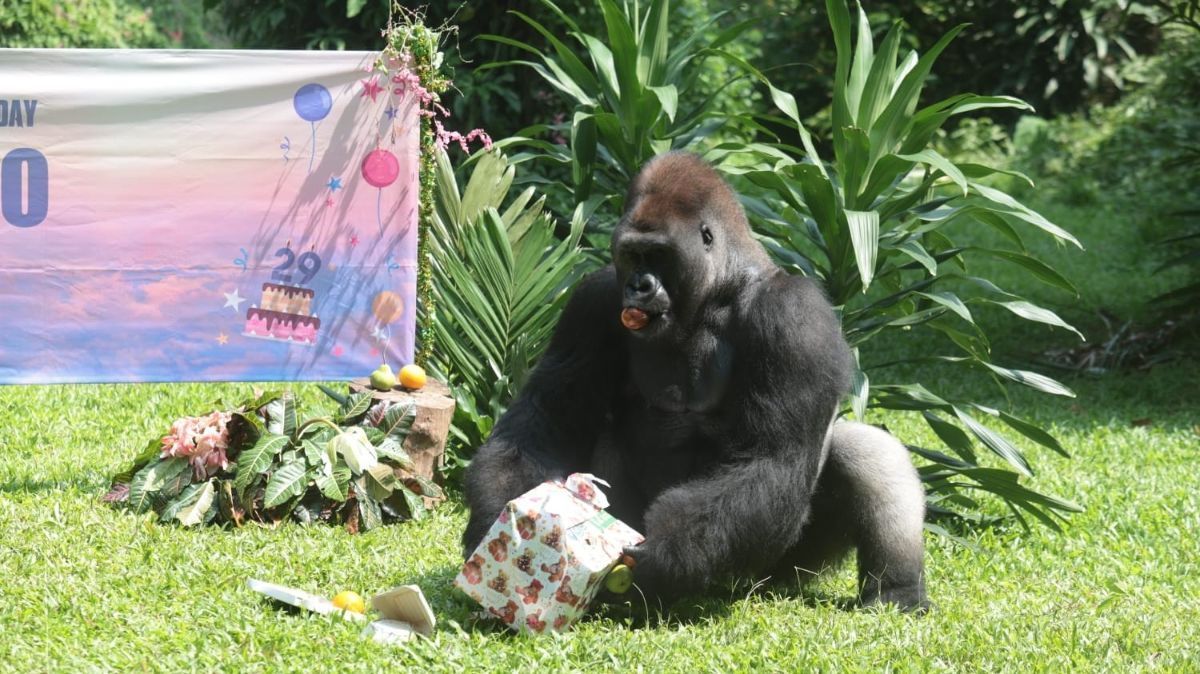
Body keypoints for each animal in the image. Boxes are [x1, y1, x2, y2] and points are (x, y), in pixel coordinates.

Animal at [460, 151, 926, 609]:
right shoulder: (591, 303)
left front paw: (669, 552)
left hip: (774, 564)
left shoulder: (795, 318)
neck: (719, 287)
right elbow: (543, 422)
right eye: (632, 254)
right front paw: (495, 519)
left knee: (865, 450)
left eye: (659, 254)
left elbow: (770, 457)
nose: (638, 286)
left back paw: (897, 590)